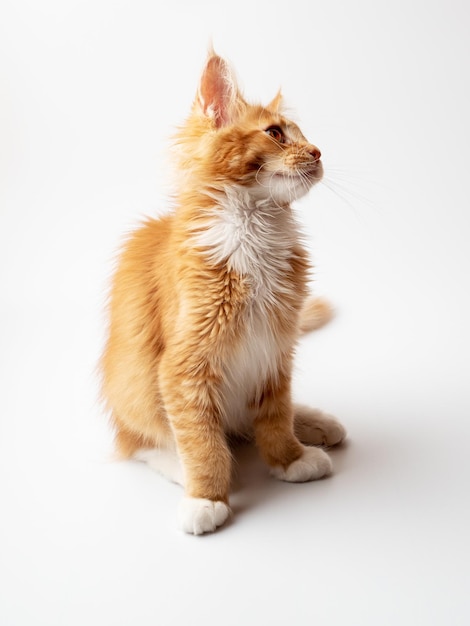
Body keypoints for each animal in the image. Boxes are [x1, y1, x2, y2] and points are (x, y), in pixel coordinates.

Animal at [101, 51, 346, 532]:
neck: (255, 230)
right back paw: (179, 465)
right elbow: (201, 440)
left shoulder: (273, 349)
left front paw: (289, 458)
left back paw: (316, 424)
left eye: (304, 136)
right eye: (275, 134)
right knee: (143, 441)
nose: (318, 152)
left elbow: (274, 415)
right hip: (134, 388)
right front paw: (206, 496)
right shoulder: (183, 368)